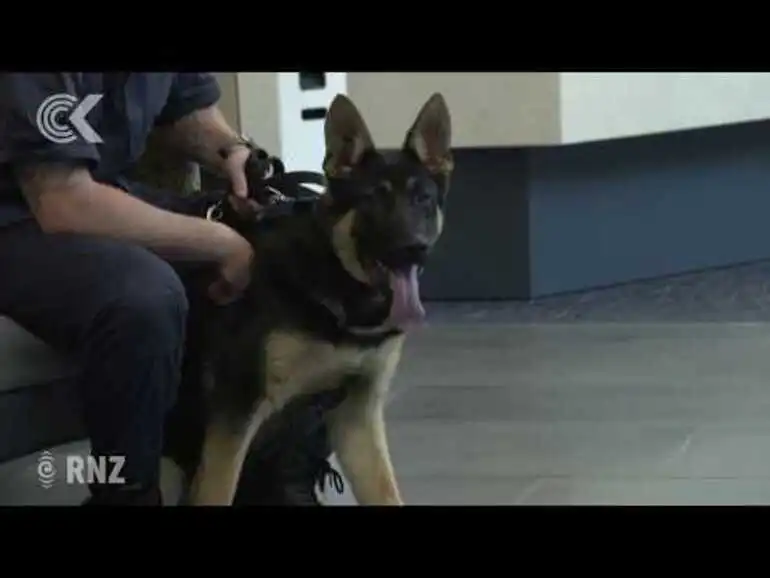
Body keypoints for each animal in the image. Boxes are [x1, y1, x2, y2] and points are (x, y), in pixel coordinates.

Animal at [186, 91, 450, 504]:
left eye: (423, 199)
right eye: (373, 200)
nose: (414, 249)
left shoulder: (357, 417)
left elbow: (385, 492)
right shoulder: (234, 414)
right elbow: (216, 491)